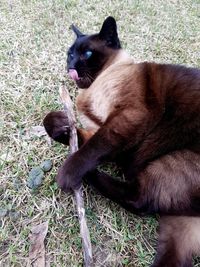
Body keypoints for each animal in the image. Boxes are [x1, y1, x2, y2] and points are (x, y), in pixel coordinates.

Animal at [43, 17, 200, 267]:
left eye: (87, 53)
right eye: (70, 54)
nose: (71, 66)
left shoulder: (126, 119)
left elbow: (92, 149)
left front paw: (67, 173)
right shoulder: (101, 130)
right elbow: (59, 127)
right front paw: (62, 123)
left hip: (172, 160)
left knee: (139, 199)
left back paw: (83, 175)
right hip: (182, 224)